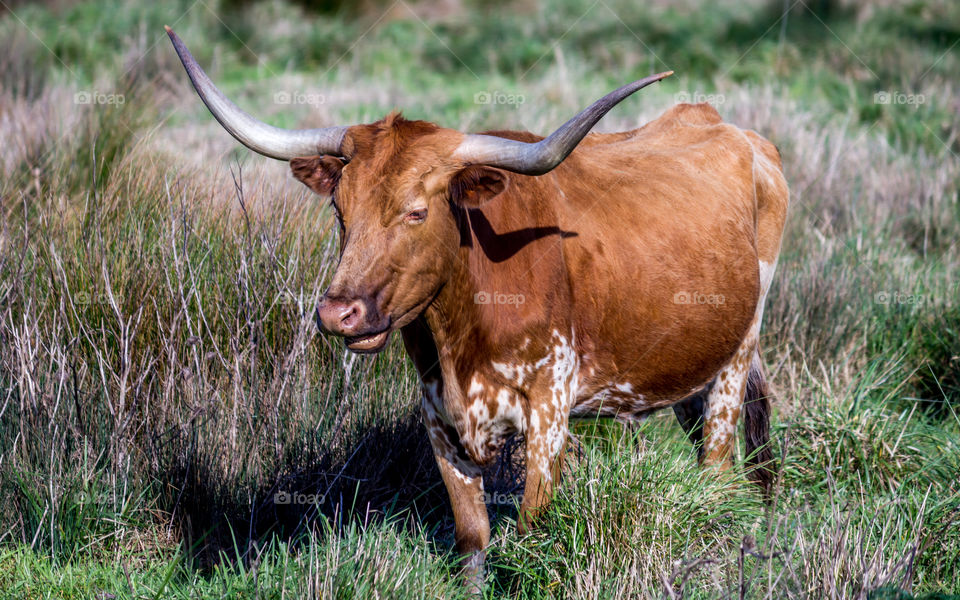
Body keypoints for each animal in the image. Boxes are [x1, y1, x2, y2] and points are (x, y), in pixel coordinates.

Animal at [167, 28, 788, 584]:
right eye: (340, 209)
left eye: (417, 211)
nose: (339, 314)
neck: (460, 337)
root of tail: (736, 133)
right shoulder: (437, 414)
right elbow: (472, 539)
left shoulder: (549, 406)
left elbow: (536, 530)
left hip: (738, 357)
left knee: (716, 470)